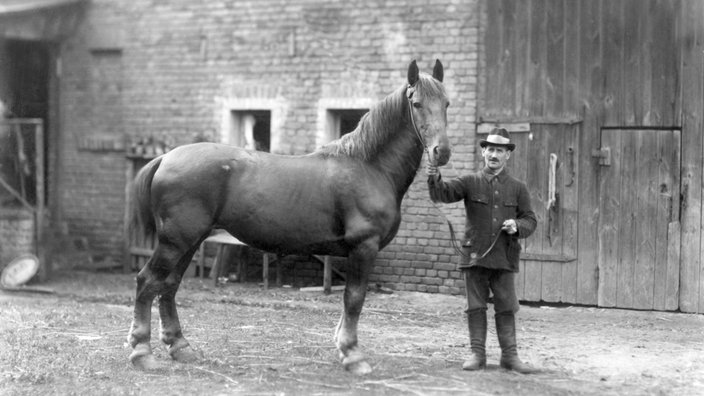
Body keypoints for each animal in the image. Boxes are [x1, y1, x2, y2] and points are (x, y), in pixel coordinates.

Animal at [126, 58, 452, 374]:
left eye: (447, 103)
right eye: (417, 103)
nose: (442, 151)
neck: (369, 168)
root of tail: (166, 157)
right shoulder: (364, 248)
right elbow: (354, 299)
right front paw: (353, 355)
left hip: (190, 241)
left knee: (169, 286)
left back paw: (180, 347)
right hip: (176, 242)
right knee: (147, 281)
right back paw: (142, 352)